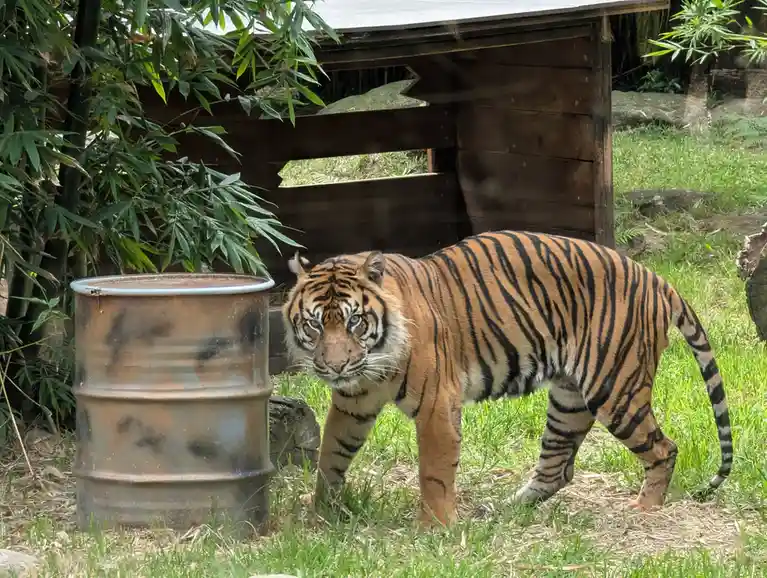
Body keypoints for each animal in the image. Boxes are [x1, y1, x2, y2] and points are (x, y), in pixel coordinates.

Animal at [281, 230, 733, 526]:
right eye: (314, 324)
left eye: (355, 321)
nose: (334, 367)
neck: (374, 361)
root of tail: (655, 278)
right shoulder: (353, 403)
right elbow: (330, 455)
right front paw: (320, 513)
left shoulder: (437, 404)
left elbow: (434, 472)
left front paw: (436, 528)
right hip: (570, 398)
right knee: (556, 468)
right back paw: (504, 509)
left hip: (614, 388)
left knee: (664, 449)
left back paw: (645, 510)